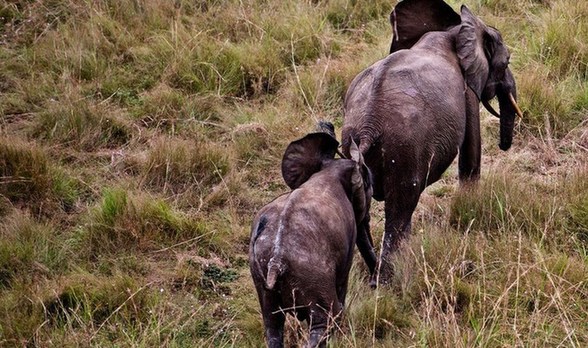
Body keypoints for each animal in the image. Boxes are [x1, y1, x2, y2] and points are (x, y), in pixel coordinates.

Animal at [249, 131, 376, 348]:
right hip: (313, 274)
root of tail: (276, 262)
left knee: (272, 324)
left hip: (260, 275)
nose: (375, 285)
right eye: (368, 181)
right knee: (327, 320)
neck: (329, 171)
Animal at [340, 0, 524, 282]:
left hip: (352, 148)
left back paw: (374, 277)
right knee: (401, 210)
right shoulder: (466, 90)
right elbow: (471, 153)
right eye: (507, 62)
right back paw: (391, 280)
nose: (504, 146)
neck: (454, 29)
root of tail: (368, 126)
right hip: (404, 150)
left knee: (363, 216)